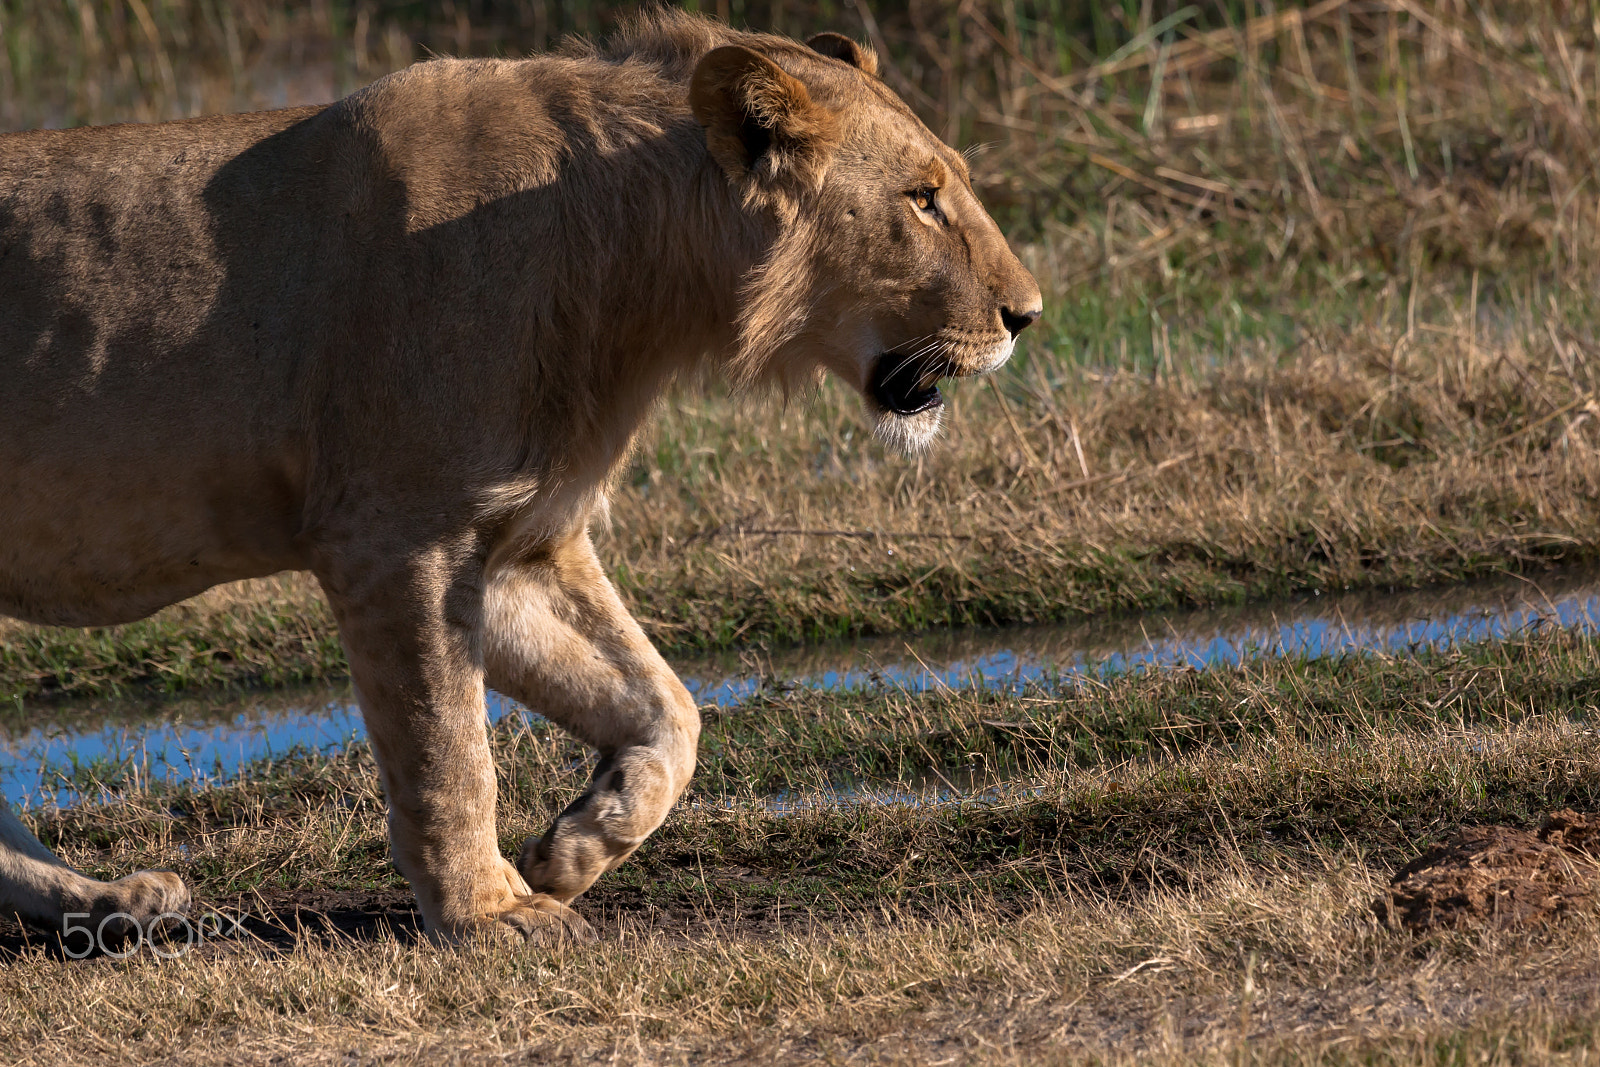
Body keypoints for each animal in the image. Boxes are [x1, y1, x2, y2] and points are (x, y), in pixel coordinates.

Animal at [0, 11, 1040, 945]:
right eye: (922, 197)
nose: (1026, 314)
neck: (634, 271)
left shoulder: (520, 542)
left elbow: (669, 707)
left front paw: (577, 844)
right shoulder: (397, 537)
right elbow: (449, 748)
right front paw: (489, 912)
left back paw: (115, 903)